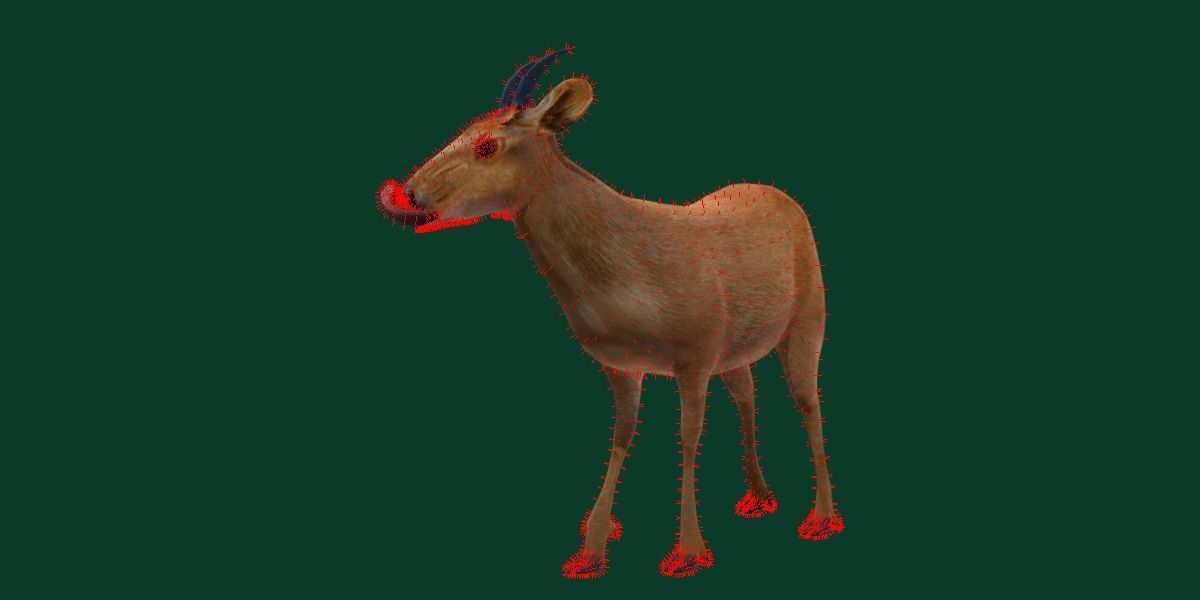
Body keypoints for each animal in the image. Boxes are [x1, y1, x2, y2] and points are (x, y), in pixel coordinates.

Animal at [377, 47, 844, 579]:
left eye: (487, 146)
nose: (406, 193)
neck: (627, 282)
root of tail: (784, 198)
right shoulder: (622, 364)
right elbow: (622, 436)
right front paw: (592, 547)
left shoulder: (695, 353)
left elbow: (687, 438)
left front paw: (687, 551)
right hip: (736, 347)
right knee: (748, 394)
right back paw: (759, 496)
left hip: (807, 318)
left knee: (808, 402)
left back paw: (821, 517)